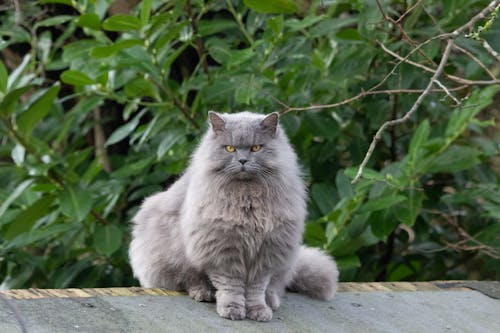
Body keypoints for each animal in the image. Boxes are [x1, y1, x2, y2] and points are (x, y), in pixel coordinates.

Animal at [129, 111, 340, 320]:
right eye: (230, 148)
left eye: (256, 148)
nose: (243, 161)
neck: (246, 198)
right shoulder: (224, 251)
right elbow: (231, 287)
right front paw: (232, 309)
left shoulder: (265, 253)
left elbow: (256, 289)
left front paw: (258, 311)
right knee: (188, 279)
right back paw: (203, 293)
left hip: (286, 261)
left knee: (274, 287)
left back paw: (271, 301)